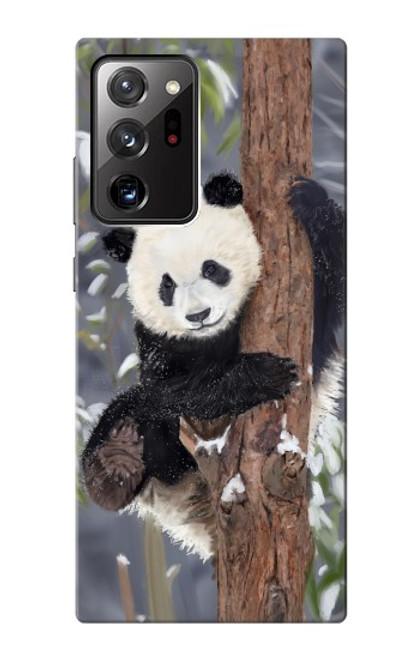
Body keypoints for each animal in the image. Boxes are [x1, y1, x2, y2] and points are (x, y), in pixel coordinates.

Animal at [82, 172, 345, 561]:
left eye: (211, 268)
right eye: (167, 285)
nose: (199, 315)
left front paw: (308, 200)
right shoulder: (157, 344)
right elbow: (176, 390)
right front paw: (265, 374)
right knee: (134, 412)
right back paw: (115, 462)